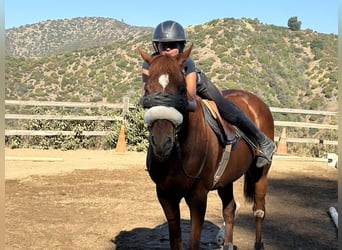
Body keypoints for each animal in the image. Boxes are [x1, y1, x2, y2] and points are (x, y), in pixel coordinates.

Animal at [138, 45, 274, 250]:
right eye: (147, 89)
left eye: (182, 89)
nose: (162, 142)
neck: (180, 154)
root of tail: (255, 101)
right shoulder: (166, 195)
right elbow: (175, 241)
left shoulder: (198, 197)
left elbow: (193, 243)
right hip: (226, 179)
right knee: (230, 209)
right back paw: (228, 244)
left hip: (260, 173)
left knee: (259, 209)